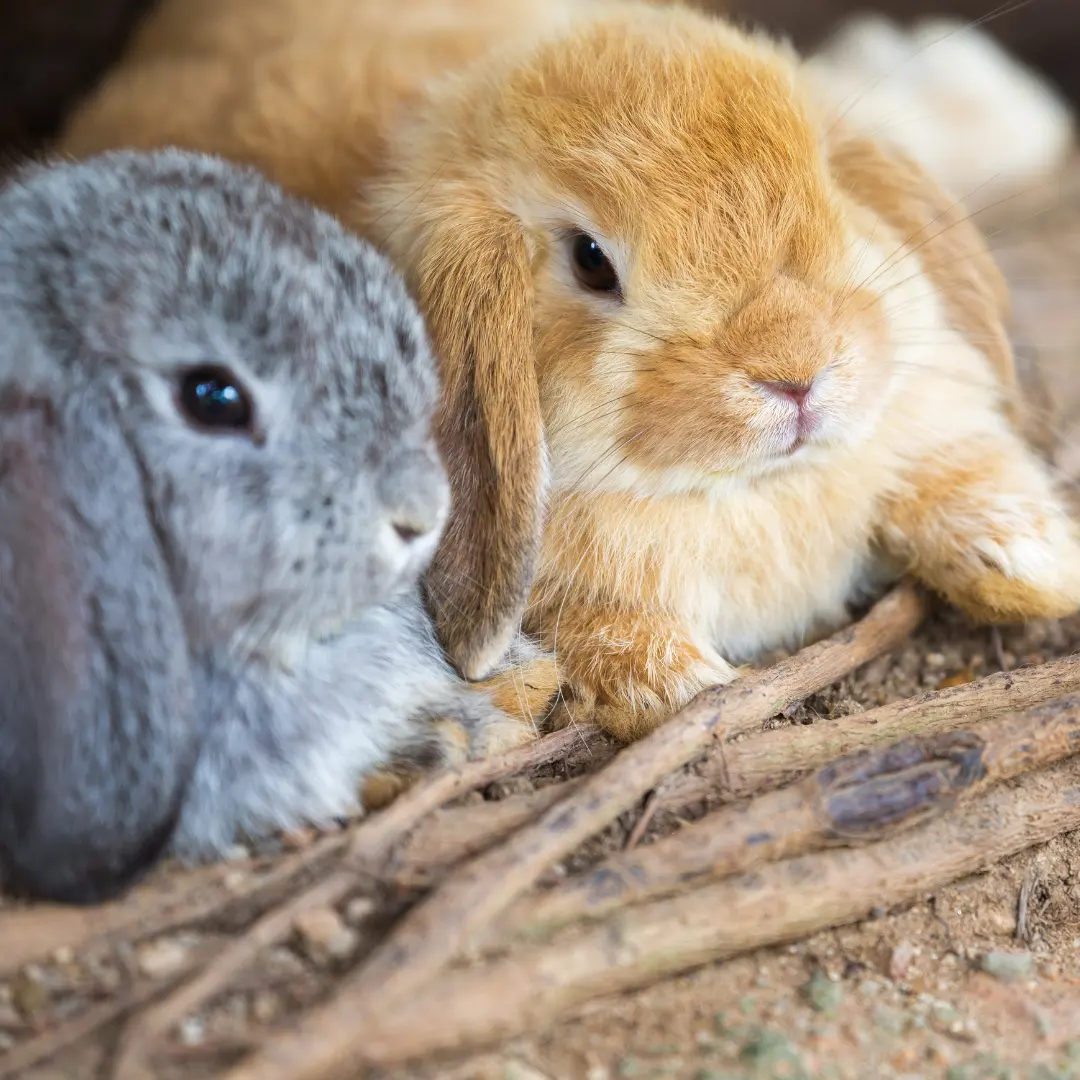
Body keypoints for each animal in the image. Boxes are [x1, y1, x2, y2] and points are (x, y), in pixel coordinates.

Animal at [56, 0, 1080, 743]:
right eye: (591, 261)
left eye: (827, 187)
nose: (797, 372)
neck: (745, 491)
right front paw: (687, 689)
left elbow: (960, 473)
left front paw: (1040, 561)